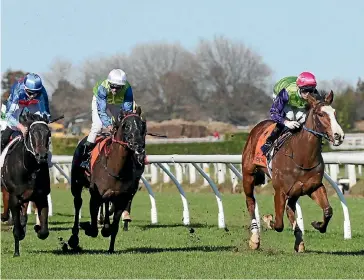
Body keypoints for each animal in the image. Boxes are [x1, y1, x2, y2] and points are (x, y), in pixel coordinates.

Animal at [0, 111, 52, 256]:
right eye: (32, 133)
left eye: (48, 133)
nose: (42, 156)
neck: (30, 168)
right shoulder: (14, 197)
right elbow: (17, 228)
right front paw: (16, 251)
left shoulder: (41, 196)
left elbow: (44, 232)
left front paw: (37, 227)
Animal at [67, 108, 147, 253]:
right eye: (126, 126)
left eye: (143, 125)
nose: (138, 145)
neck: (117, 168)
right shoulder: (95, 196)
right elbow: (93, 227)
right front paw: (87, 227)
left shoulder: (122, 198)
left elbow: (114, 227)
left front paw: (110, 247)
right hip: (76, 184)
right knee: (78, 203)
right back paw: (74, 237)